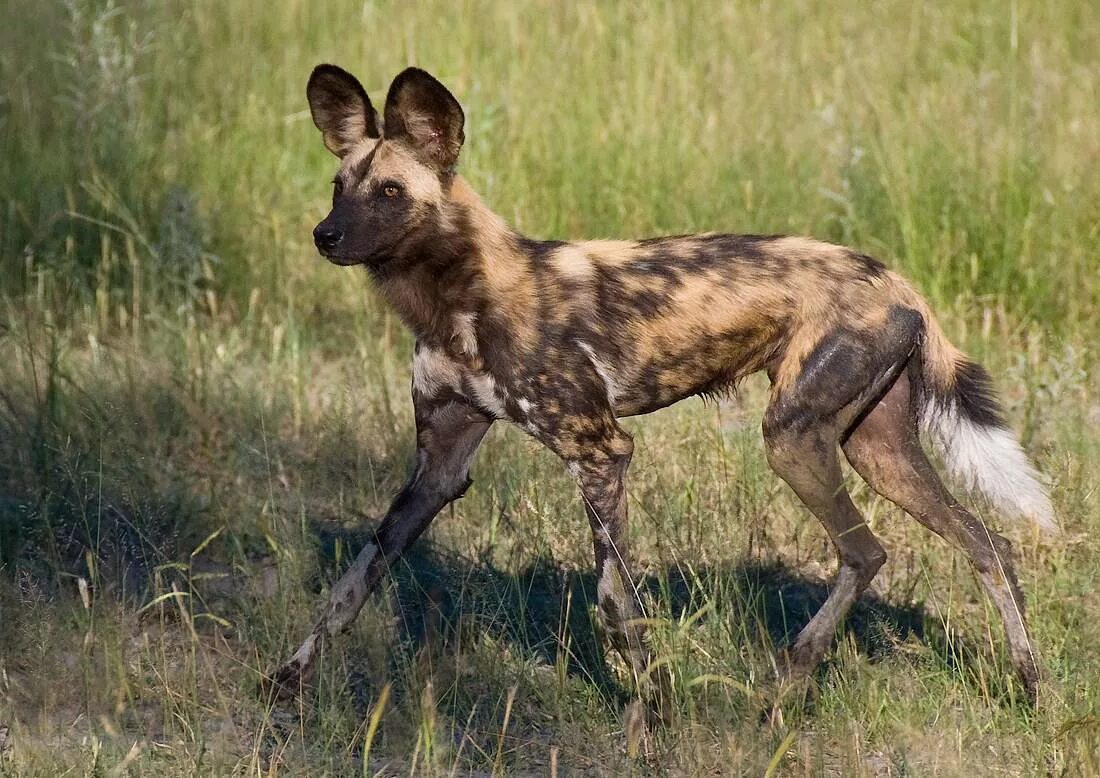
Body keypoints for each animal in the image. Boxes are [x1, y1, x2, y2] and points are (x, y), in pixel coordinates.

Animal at [266, 66, 1056, 713]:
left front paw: (653, 717)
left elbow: (617, 604)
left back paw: (784, 684)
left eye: (390, 192)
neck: (457, 295)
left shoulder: (601, 451)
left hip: (793, 440)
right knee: (986, 544)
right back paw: (1027, 685)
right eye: (338, 188)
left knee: (866, 552)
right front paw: (289, 680)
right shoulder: (438, 467)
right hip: (875, 450)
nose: (325, 235)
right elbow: (353, 582)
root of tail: (898, 281)